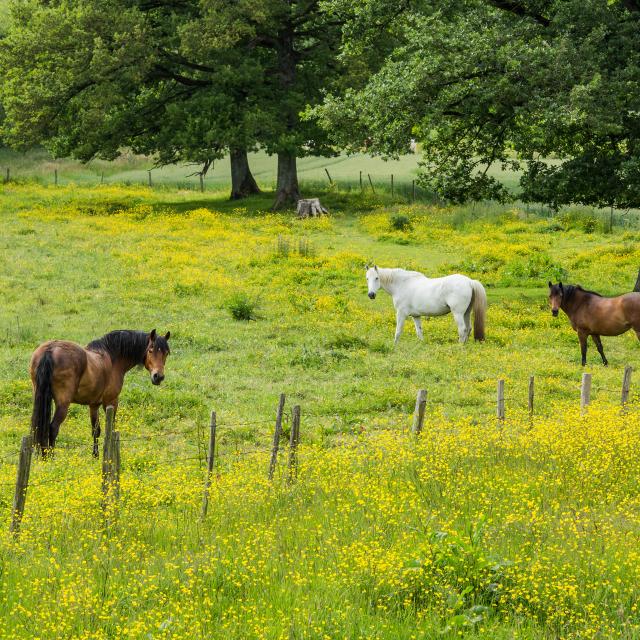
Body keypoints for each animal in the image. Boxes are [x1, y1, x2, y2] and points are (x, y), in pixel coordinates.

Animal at [30, 330, 170, 456]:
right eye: (150, 350)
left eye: (166, 353)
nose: (158, 377)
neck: (113, 359)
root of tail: (50, 350)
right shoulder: (111, 401)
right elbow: (111, 429)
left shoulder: (94, 405)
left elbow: (96, 430)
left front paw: (95, 455)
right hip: (63, 404)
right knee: (53, 428)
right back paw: (50, 458)